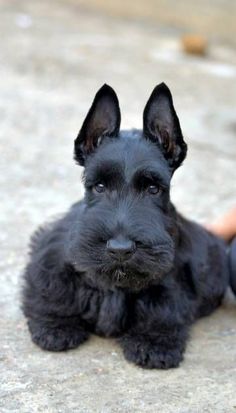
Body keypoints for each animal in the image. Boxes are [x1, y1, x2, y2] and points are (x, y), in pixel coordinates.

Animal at [22, 83, 229, 366]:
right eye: (99, 186)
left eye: (153, 188)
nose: (120, 249)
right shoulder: (53, 259)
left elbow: (163, 305)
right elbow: (54, 290)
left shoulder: (172, 280)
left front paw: (154, 342)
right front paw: (55, 326)